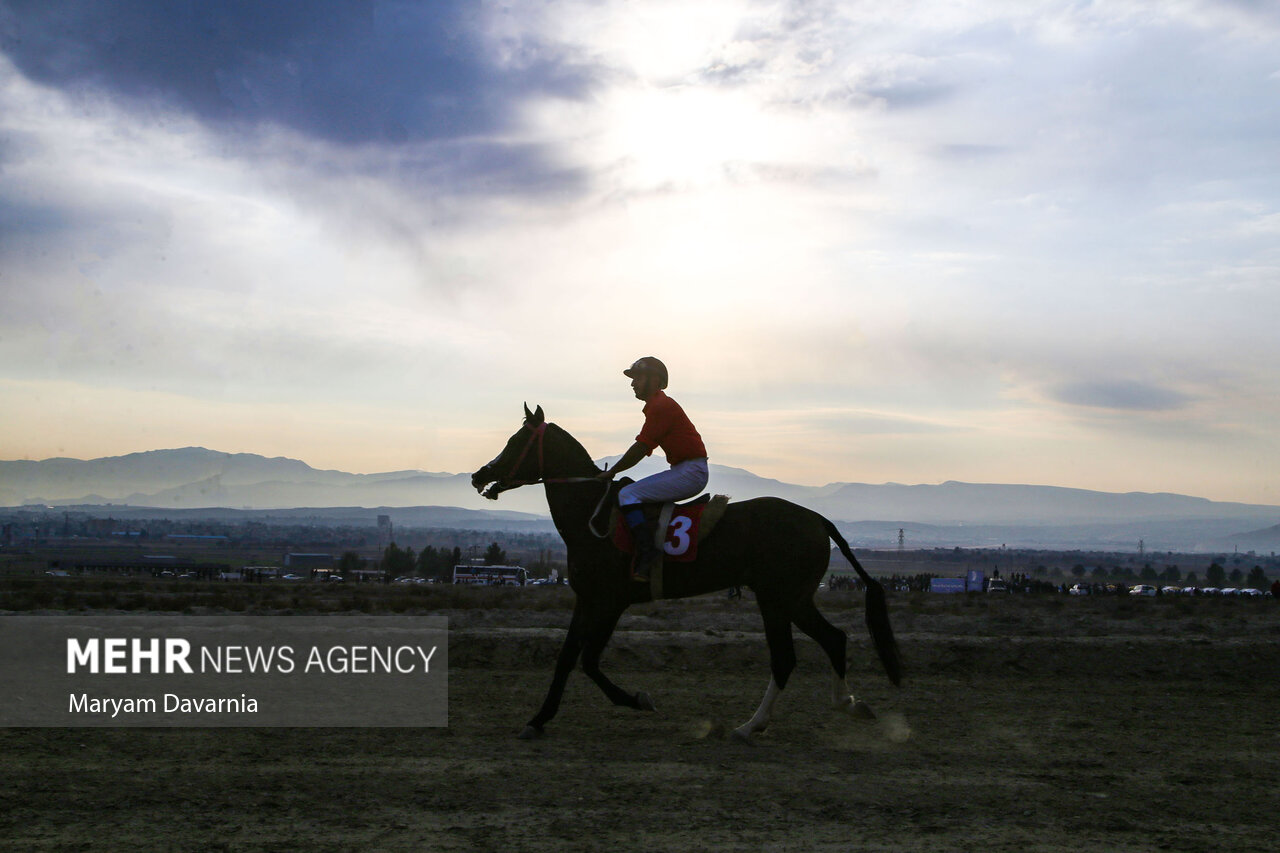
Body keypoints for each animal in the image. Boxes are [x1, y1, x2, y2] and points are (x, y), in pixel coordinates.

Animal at [471, 402, 901, 742]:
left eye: (515, 442)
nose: (479, 475)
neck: (591, 516)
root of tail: (817, 519)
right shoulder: (588, 599)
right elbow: (567, 657)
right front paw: (539, 719)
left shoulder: (610, 601)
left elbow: (589, 659)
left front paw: (637, 700)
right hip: (791, 598)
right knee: (831, 640)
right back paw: (845, 705)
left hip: (778, 597)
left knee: (789, 655)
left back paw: (752, 725)